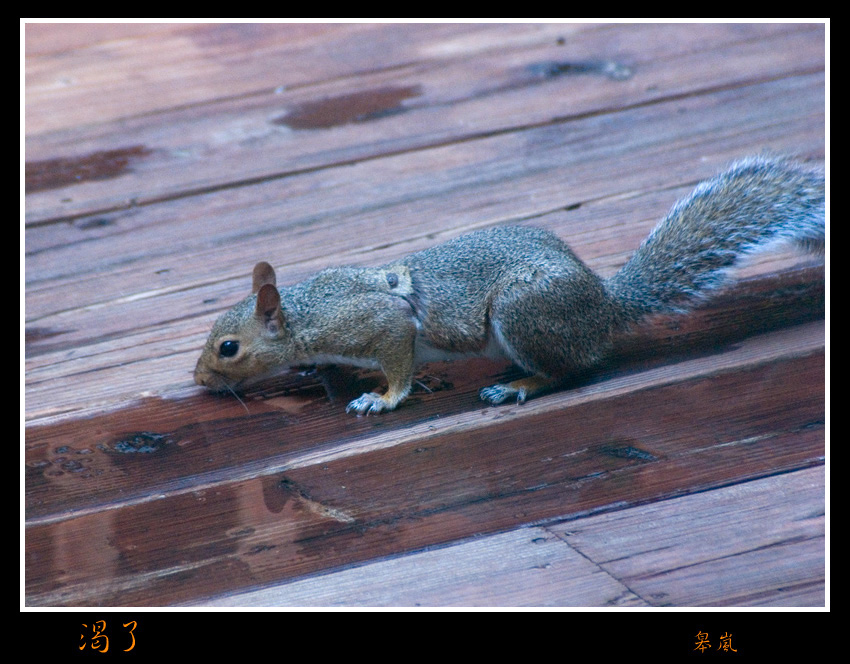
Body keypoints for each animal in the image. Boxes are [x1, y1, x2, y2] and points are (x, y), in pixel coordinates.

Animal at [194, 157, 820, 416]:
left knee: (570, 370)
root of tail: (603, 307)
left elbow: (397, 360)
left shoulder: (377, 323)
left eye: (228, 348)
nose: (198, 380)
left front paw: (383, 397)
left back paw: (520, 385)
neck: (306, 315)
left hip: (524, 312)